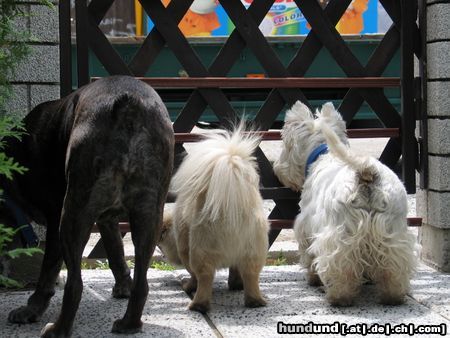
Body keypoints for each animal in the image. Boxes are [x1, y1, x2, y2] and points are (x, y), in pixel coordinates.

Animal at [2, 75, 175, 336]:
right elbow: (115, 251)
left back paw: (59, 329)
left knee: (75, 284)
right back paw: (129, 324)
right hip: (149, 214)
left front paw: (31, 309)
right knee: (142, 282)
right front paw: (123, 286)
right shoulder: (107, 219)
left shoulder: (55, 217)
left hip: (73, 214)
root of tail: (128, 105)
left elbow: (48, 269)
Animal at [160, 126, 268, 312]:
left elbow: (193, 274)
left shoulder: (185, 249)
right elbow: (235, 271)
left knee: (204, 278)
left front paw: (189, 286)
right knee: (251, 276)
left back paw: (198, 305)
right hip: (253, 253)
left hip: (201, 251)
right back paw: (255, 301)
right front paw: (235, 284)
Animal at [274, 101, 418, 306]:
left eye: (285, 146)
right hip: (393, 228)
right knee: (395, 265)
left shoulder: (305, 224)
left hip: (341, 232)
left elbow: (308, 251)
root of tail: (367, 171)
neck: (324, 153)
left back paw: (338, 296)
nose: (277, 169)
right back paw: (393, 295)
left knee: (339, 266)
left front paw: (312, 277)